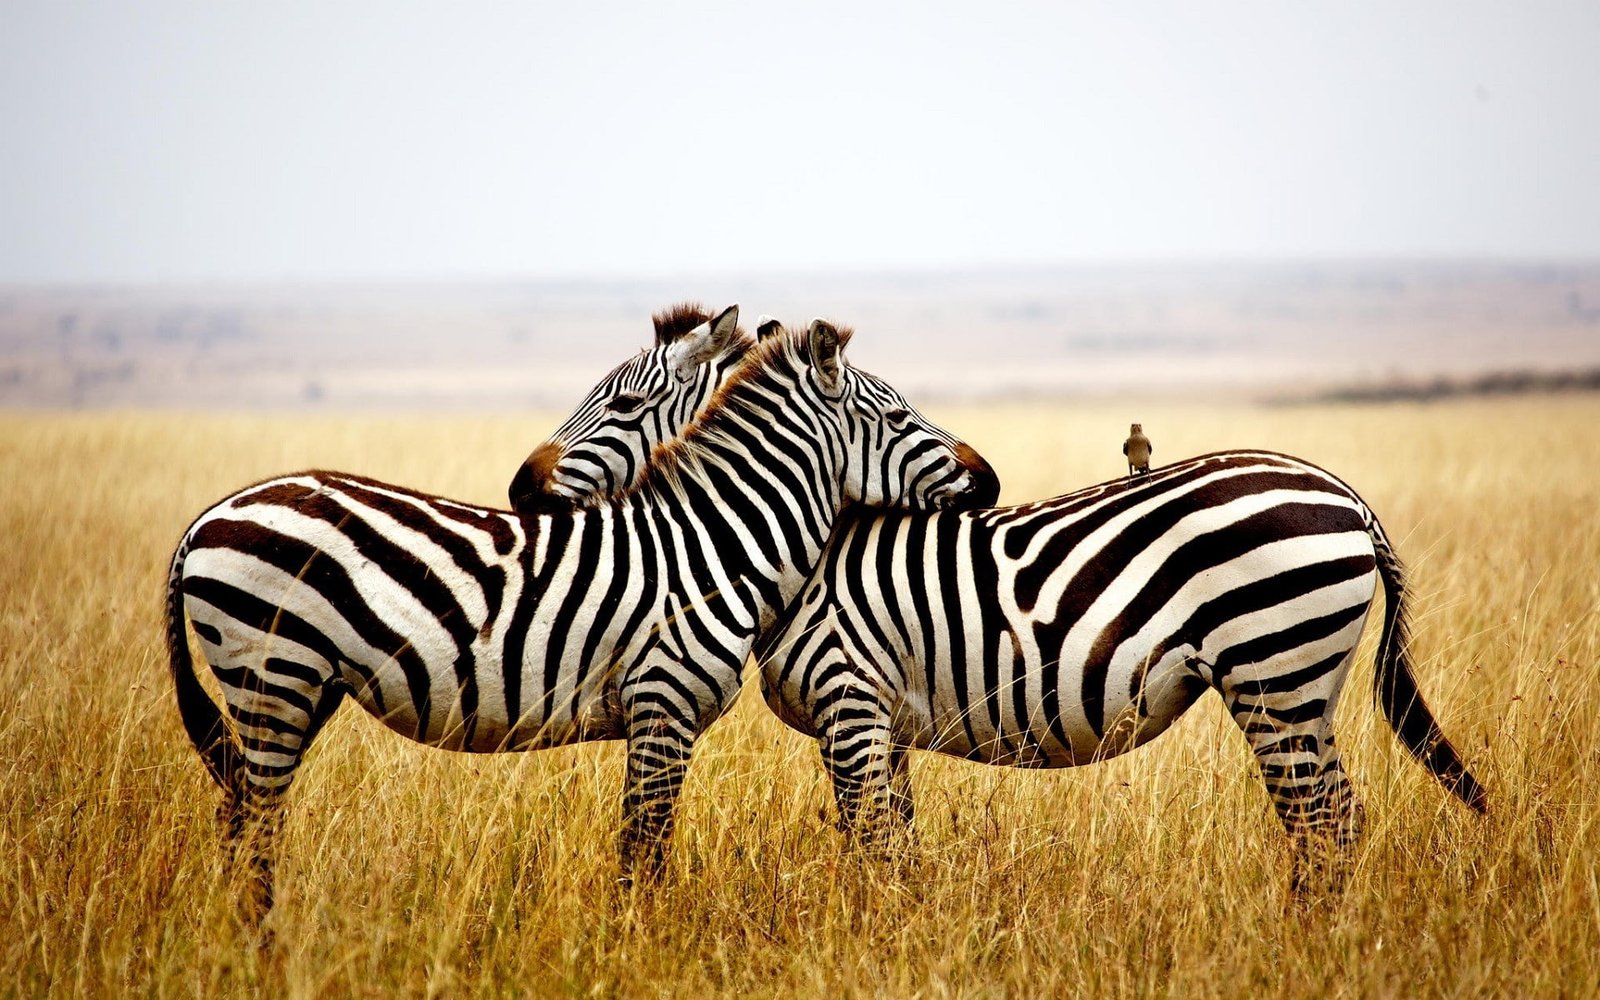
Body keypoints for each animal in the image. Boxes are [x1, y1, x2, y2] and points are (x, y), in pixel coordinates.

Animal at [166, 313, 1001, 918]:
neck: (715, 542)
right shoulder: (662, 706)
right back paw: (262, 944)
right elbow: (644, 850)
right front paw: (639, 943)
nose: (988, 480)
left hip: (294, 685)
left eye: (624, 403)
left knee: (243, 817)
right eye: (899, 417)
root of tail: (208, 516)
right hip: (273, 672)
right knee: (254, 826)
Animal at [753, 450, 1486, 889]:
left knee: (1316, 819)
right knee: (1342, 812)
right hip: (1310, 688)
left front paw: (880, 927)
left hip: (1273, 671)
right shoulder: (883, 722)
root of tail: (1348, 498)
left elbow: (872, 840)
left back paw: (1305, 942)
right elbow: (897, 833)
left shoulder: (849, 702)